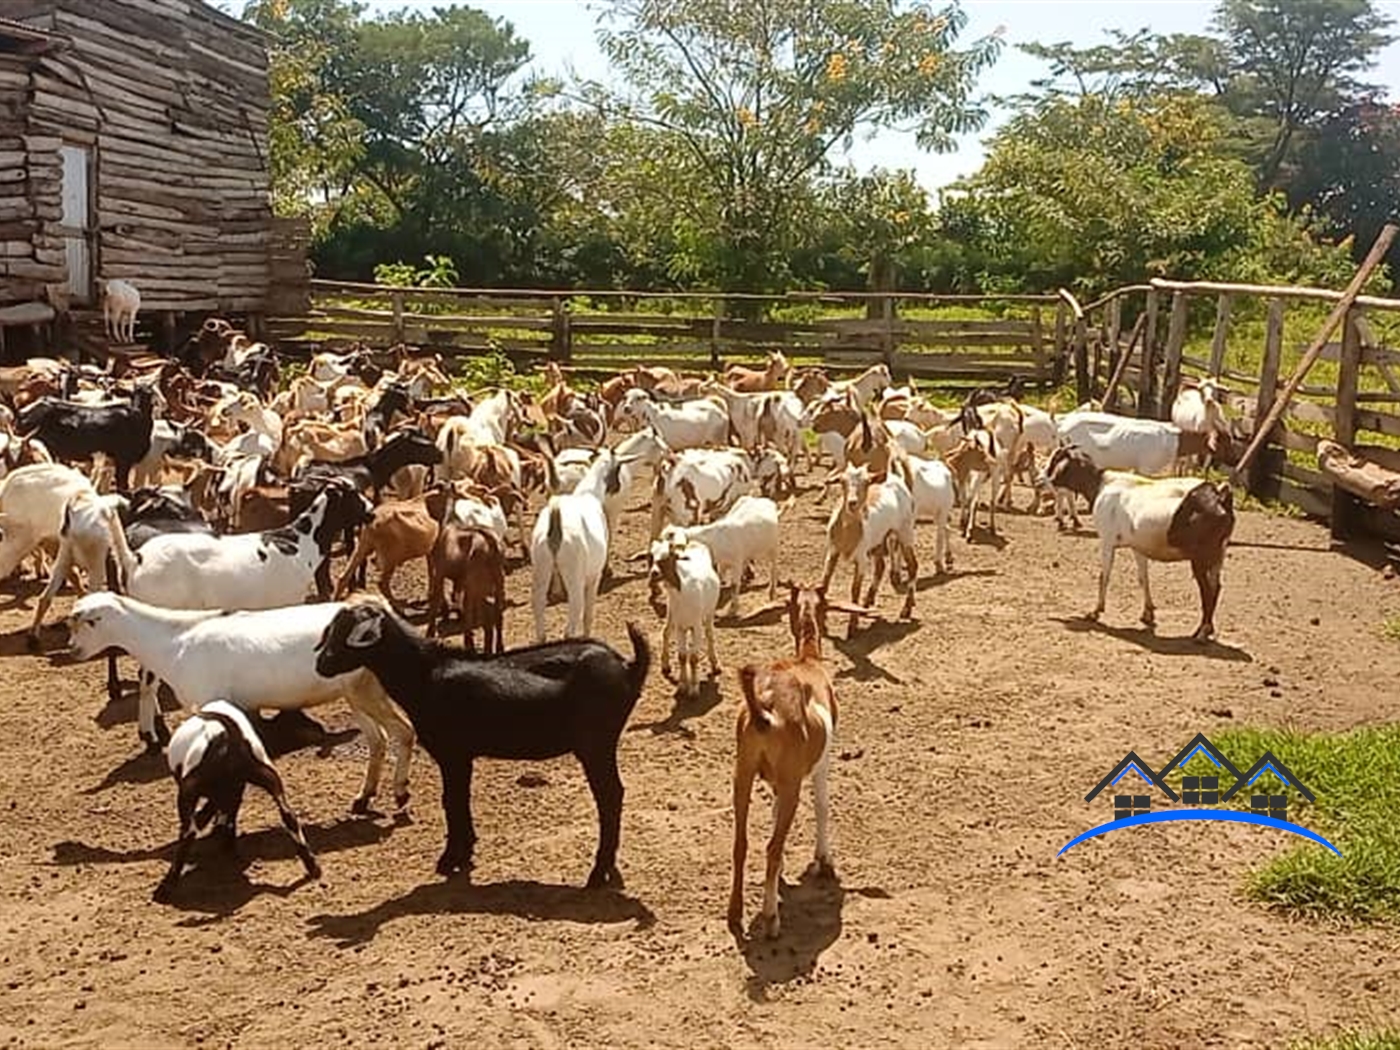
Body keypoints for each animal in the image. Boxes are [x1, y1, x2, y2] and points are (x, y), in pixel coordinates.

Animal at [152, 700, 320, 907]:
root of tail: (228, 739)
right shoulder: (233, 791)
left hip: (189, 792)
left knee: (189, 831)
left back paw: (165, 889)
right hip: (266, 776)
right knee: (288, 815)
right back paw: (313, 867)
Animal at [312, 599, 649, 890]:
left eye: (350, 634)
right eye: (331, 630)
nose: (322, 665)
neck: (426, 674)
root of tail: (629, 667)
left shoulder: (452, 753)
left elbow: (451, 800)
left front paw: (450, 859)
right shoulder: (463, 757)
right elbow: (460, 799)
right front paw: (466, 851)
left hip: (596, 744)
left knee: (610, 796)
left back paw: (598, 872)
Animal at [1041, 445, 1237, 641]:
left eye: (1056, 459)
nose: (1042, 480)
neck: (1100, 484)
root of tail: (1219, 497)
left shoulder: (1107, 540)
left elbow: (1104, 575)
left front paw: (1095, 612)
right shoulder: (1138, 547)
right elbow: (1143, 578)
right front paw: (1147, 613)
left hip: (1201, 557)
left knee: (1207, 589)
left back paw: (1202, 633)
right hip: (1218, 553)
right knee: (1216, 587)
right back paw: (1204, 630)